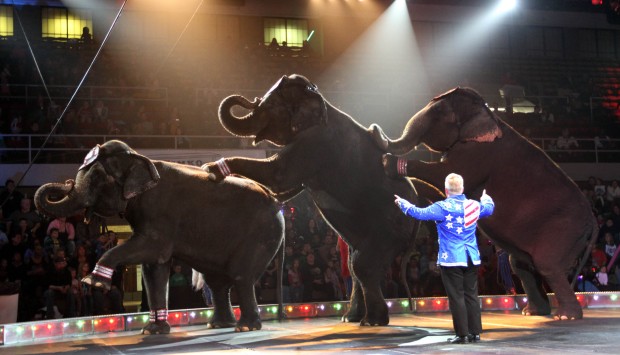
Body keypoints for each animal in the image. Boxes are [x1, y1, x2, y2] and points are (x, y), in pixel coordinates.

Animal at [35, 139, 284, 334]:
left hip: (262, 233)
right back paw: (219, 325)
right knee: (217, 283)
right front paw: (152, 331)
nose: (66, 183)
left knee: (241, 277)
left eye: (97, 176)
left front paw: (93, 283)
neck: (141, 158)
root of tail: (276, 199)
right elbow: (154, 266)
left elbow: (153, 248)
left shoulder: (159, 211)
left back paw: (246, 327)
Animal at [203, 73, 422, 326]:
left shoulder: (316, 141)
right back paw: (351, 318)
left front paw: (211, 169)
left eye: (271, 105)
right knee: (355, 266)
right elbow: (284, 188)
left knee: (363, 267)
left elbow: (278, 175)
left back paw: (372, 321)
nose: (248, 98)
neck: (321, 99)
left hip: (390, 226)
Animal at [370, 87, 600, 322]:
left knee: (548, 266)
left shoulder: (479, 153)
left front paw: (388, 163)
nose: (372, 127)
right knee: (522, 266)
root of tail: (593, 221)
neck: (490, 115)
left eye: (439, 111)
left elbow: (445, 174)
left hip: (564, 229)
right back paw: (533, 312)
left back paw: (566, 317)